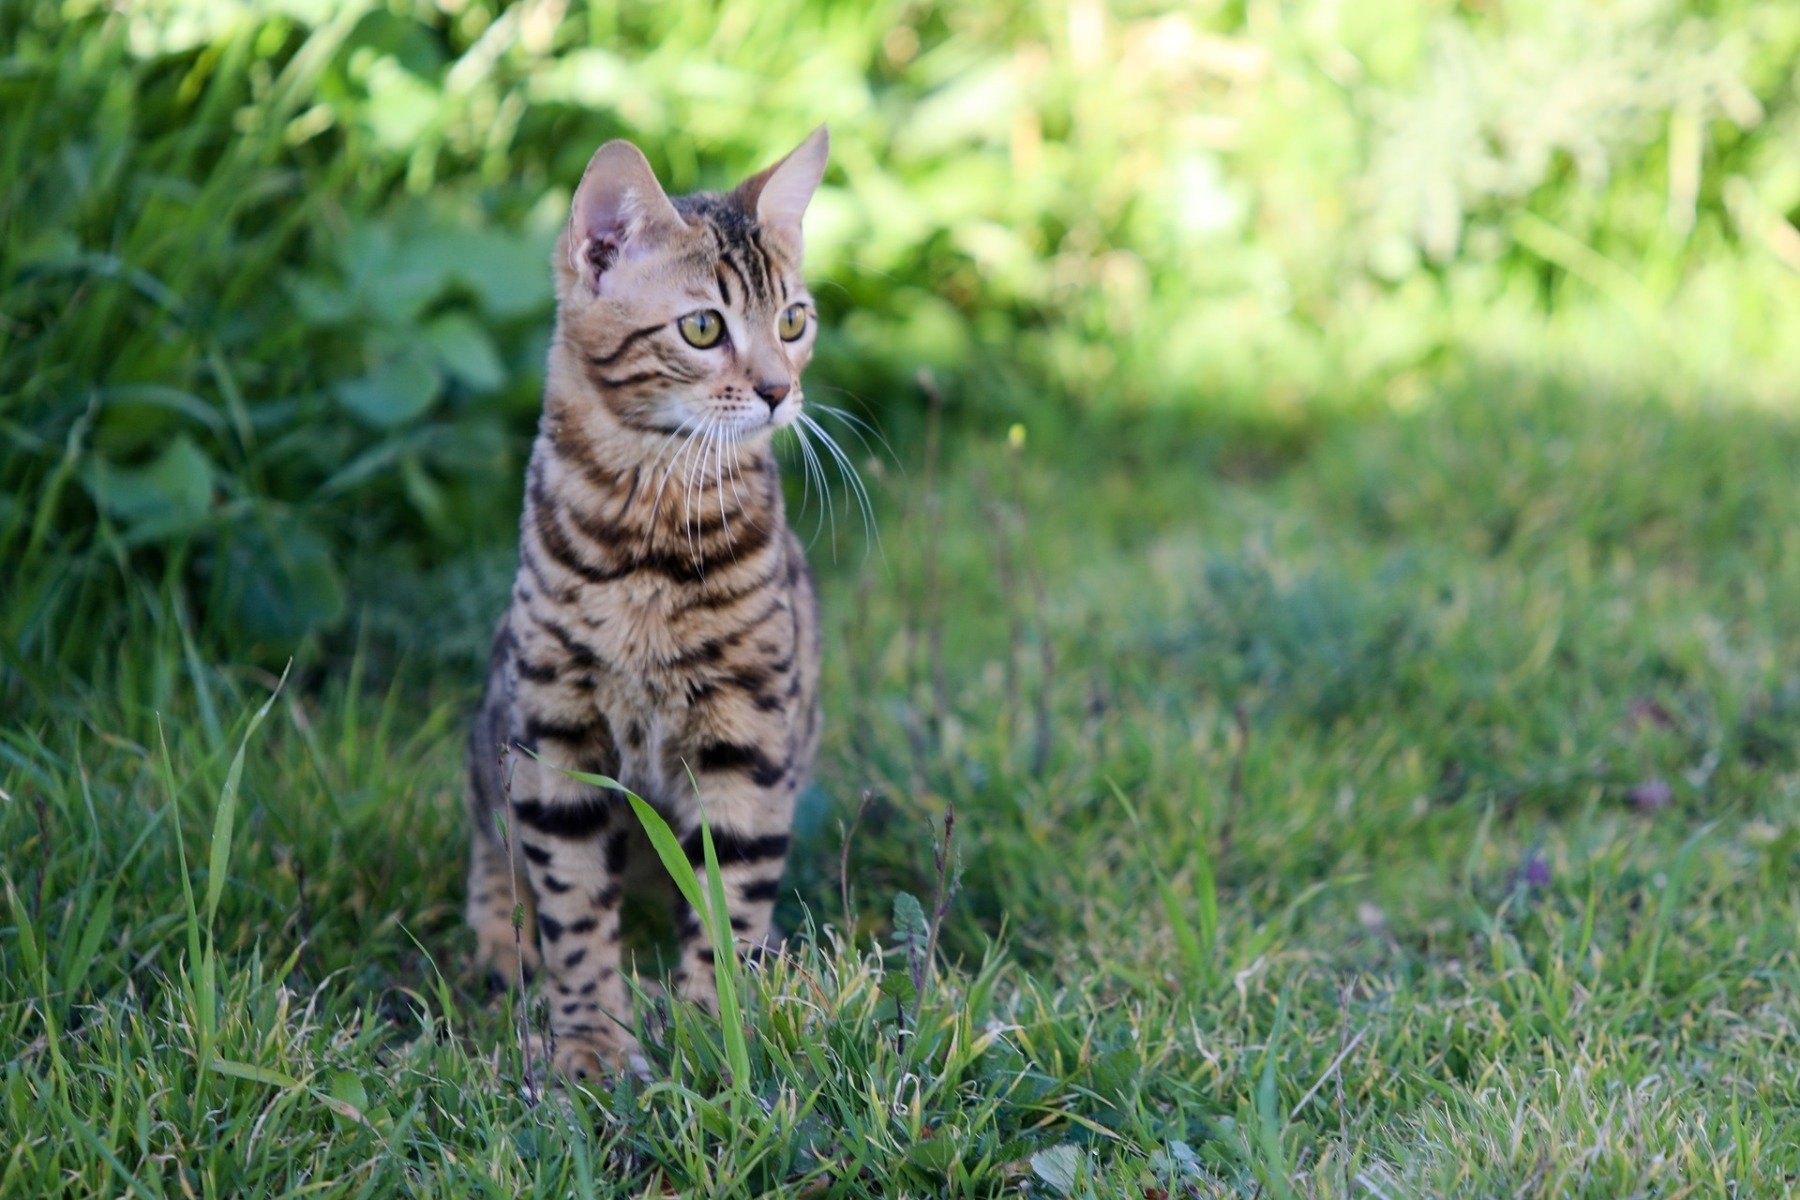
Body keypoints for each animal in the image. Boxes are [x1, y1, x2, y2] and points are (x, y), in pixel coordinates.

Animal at [464, 129, 828, 1079]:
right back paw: (500, 942)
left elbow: (729, 900)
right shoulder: (554, 738)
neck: (651, 546)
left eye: (793, 321)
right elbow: (574, 910)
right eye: (702, 327)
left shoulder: (749, 742)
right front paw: (590, 1042)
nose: (779, 391)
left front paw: (710, 1031)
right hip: (496, 723)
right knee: (487, 840)